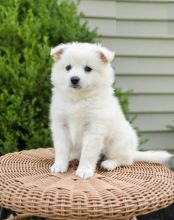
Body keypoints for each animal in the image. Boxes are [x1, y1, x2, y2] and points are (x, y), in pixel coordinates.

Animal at [49, 42, 171, 179]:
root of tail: (132, 151)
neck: (78, 98)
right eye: (68, 67)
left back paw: (109, 164)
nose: (74, 79)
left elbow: (88, 152)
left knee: (124, 160)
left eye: (88, 69)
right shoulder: (60, 125)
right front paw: (59, 165)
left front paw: (84, 170)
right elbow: (61, 149)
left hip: (118, 143)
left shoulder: (94, 128)